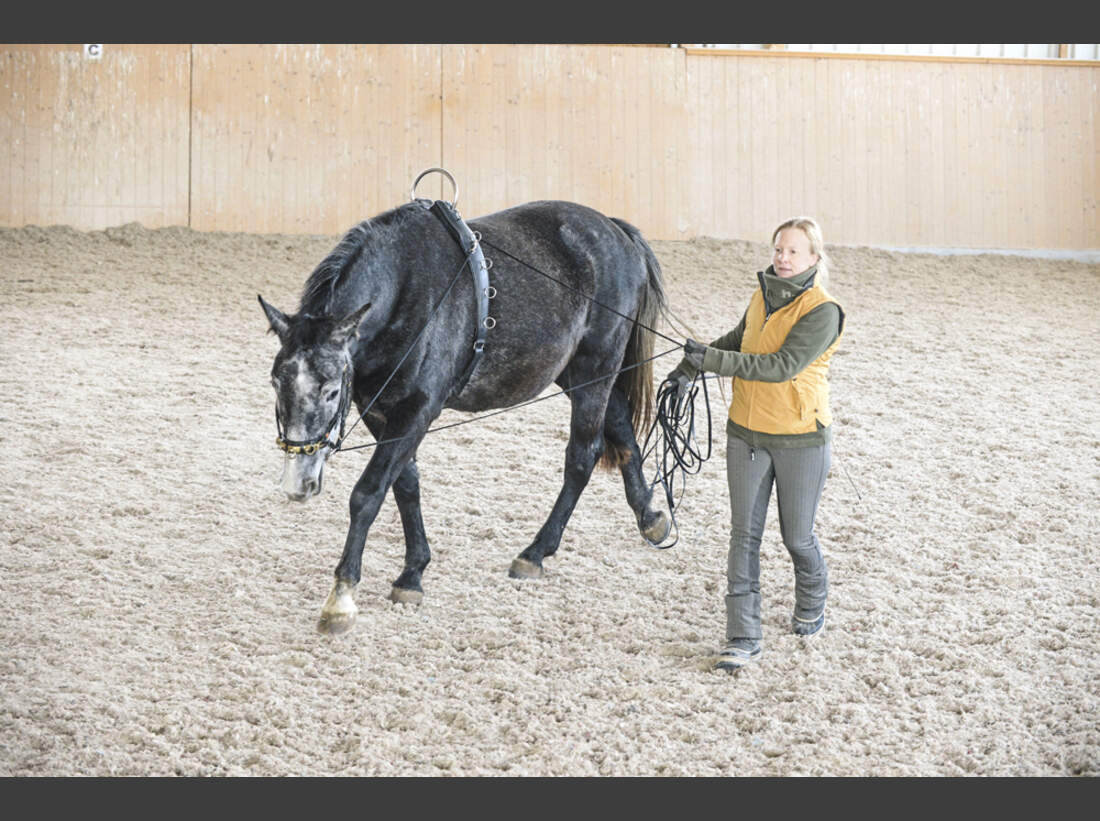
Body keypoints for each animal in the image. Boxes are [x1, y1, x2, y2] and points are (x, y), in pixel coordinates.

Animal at [258, 197, 672, 634]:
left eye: (333, 390)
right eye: (275, 383)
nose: (298, 483)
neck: (405, 288)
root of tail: (612, 227)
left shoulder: (417, 410)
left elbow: (368, 493)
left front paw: (341, 596)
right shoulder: (381, 412)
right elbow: (405, 485)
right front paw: (413, 574)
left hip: (597, 367)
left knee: (583, 455)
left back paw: (536, 552)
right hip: (578, 372)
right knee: (622, 431)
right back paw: (650, 517)